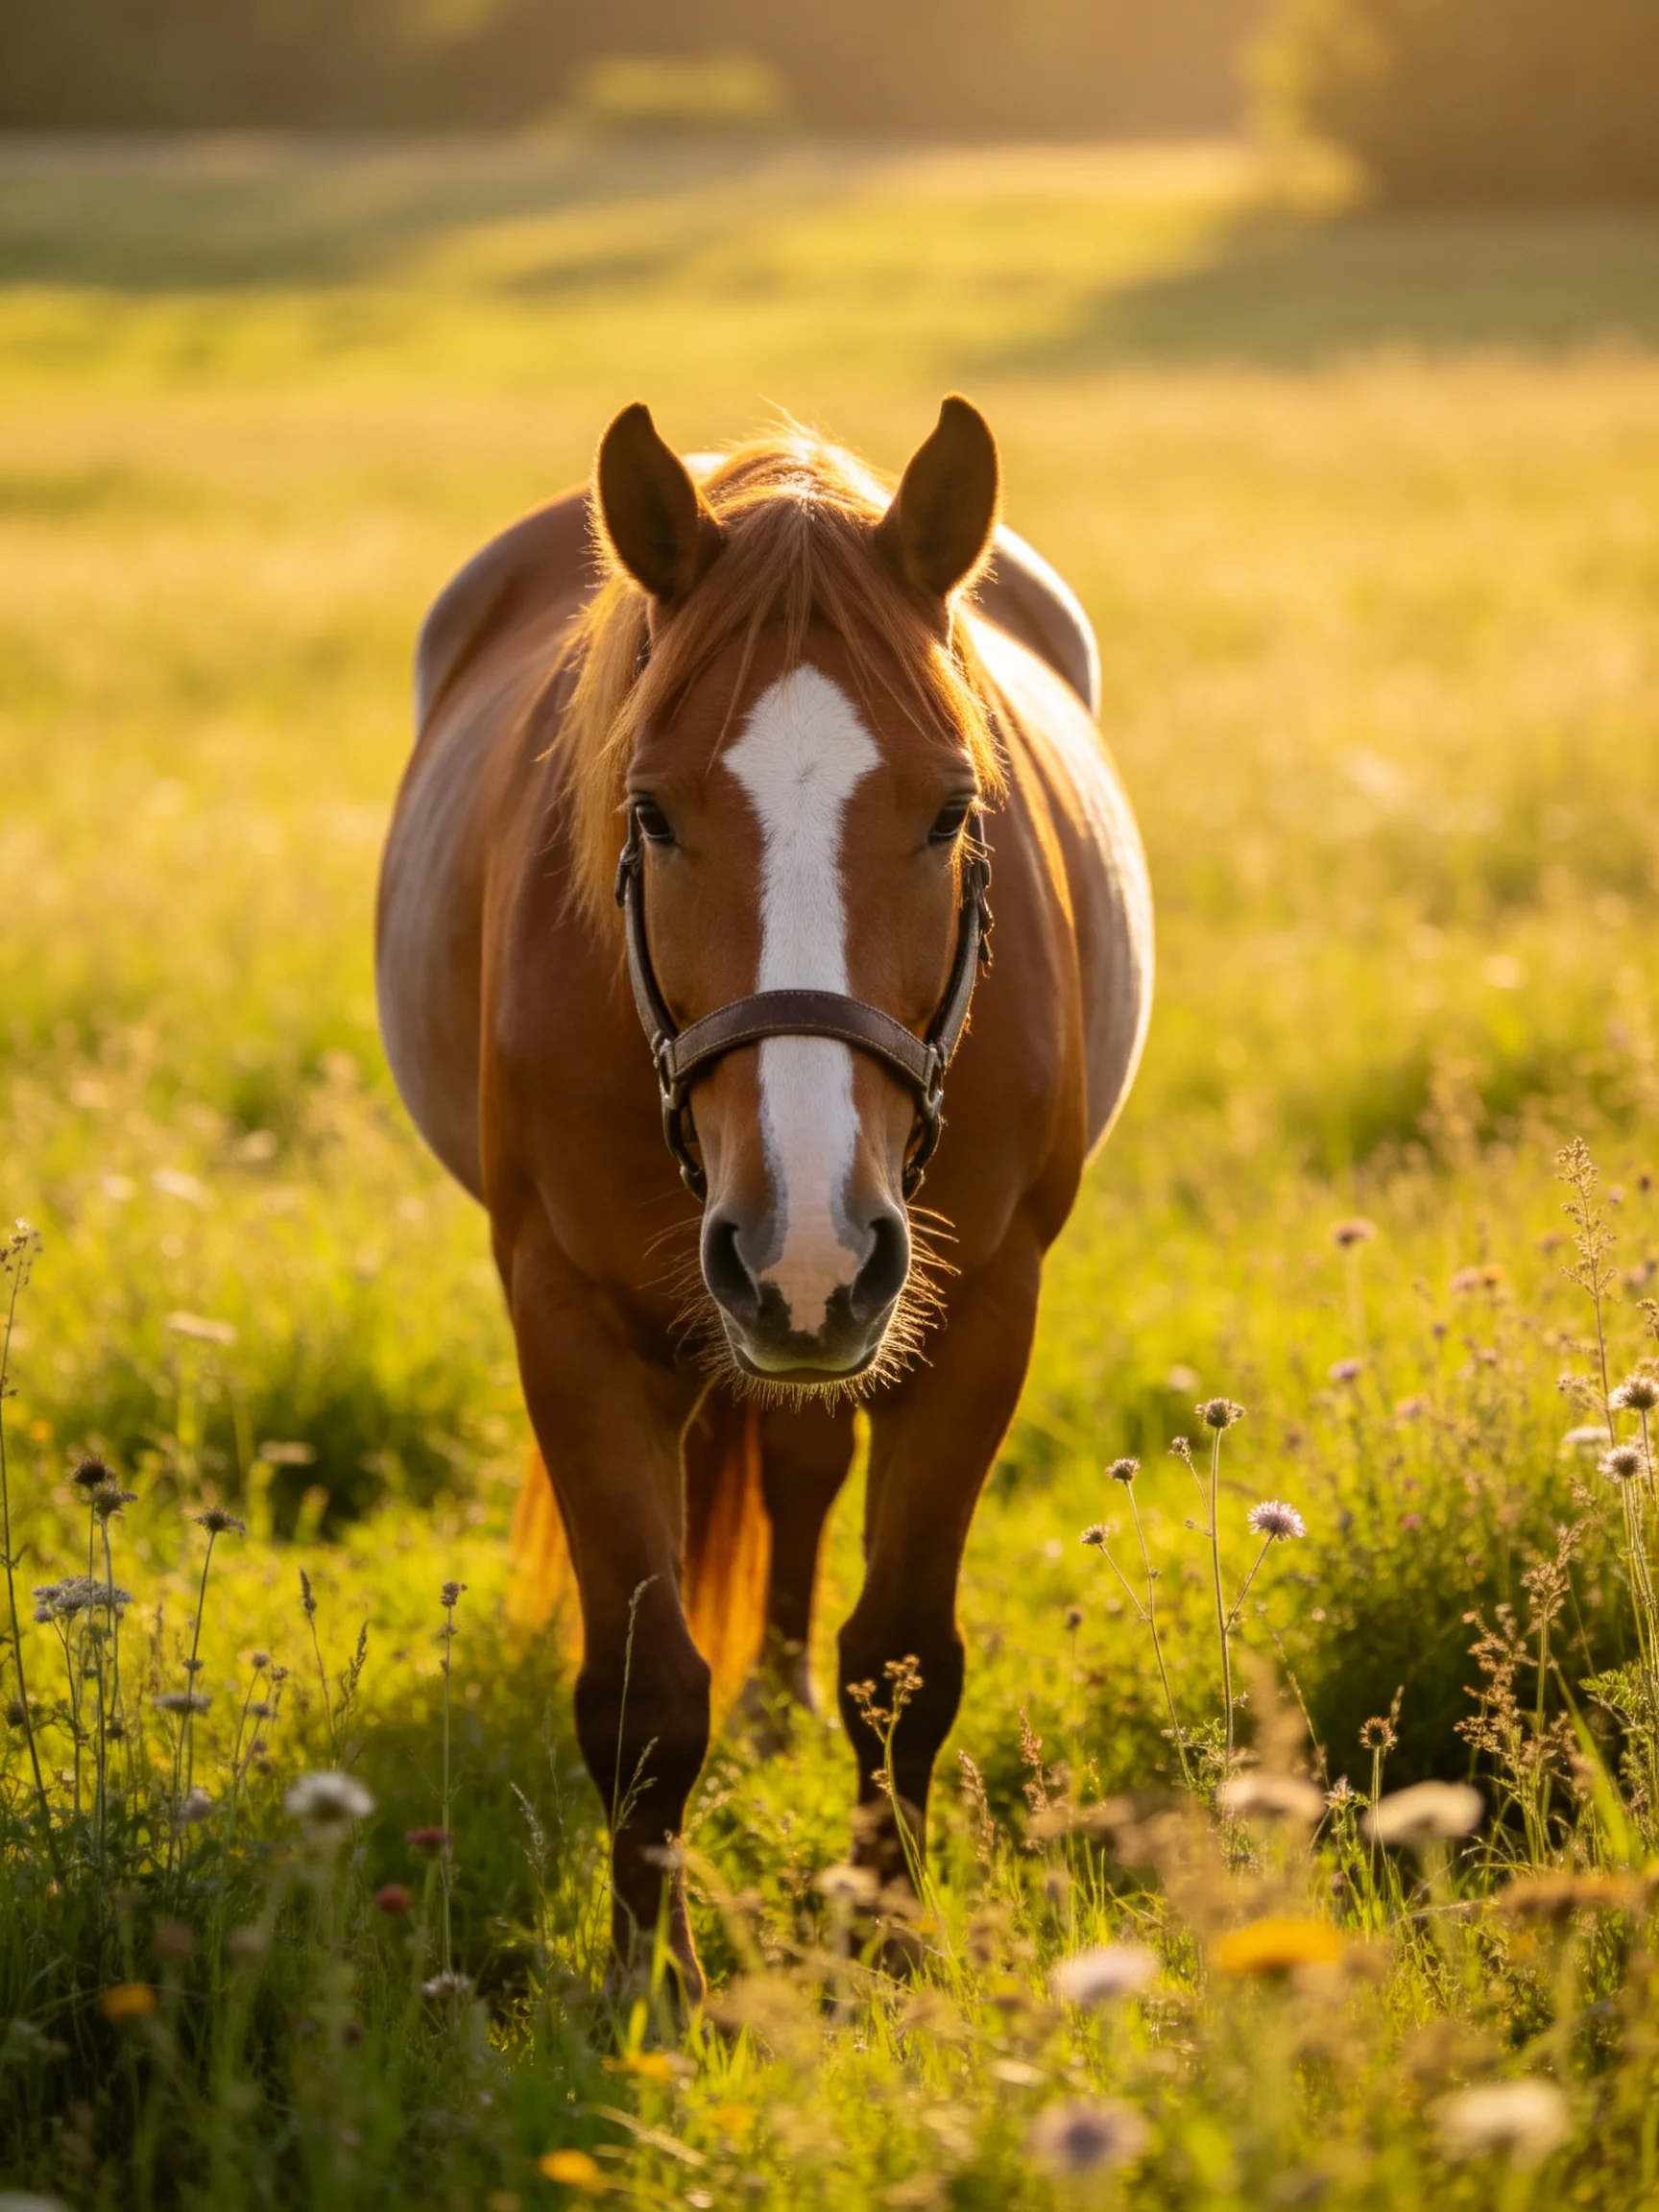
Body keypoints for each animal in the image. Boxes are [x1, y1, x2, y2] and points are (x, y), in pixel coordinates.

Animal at [376, 396, 1152, 1997]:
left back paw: (780, 1692)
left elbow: (902, 1660)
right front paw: (646, 1988)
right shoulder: (573, 1319)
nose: (803, 1248)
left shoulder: (976, 1311)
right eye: (654, 813)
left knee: (798, 1471)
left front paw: (891, 1945)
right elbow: (642, 1691)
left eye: (951, 810)